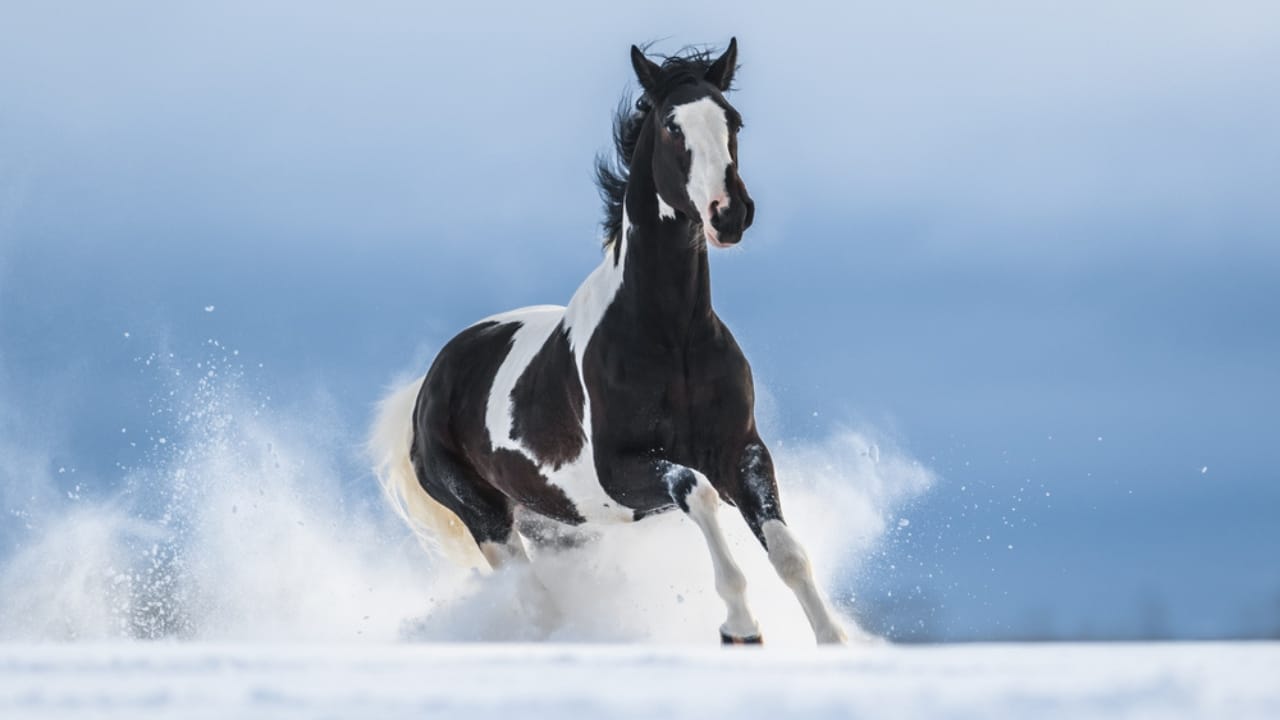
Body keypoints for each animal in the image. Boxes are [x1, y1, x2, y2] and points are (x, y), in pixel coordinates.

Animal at [371, 39, 847, 645]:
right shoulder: (623, 472)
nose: (729, 214)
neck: (671, 336)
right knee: (537, 603)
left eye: (733, 120)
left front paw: (833, 640)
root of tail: (427, 385)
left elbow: (788, 554)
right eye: (671, 125)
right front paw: (740, 627)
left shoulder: (741, 450)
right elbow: (697, 492)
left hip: (561, 524)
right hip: (488, 519)